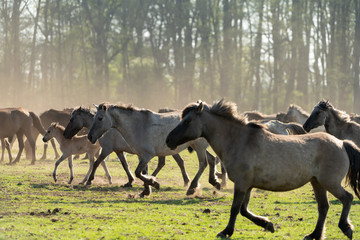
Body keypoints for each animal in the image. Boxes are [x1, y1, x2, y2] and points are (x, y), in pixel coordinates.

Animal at [62, 107, 191, 188]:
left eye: (71, 119)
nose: (65, 134)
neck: (110, 129)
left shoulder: (107, 150)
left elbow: (97, 163)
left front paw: (89, 180)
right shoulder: (118, 151)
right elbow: (125, 165)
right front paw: (130, 181)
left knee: (176, 162)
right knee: (169, 162)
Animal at [88, 102, 222, 197]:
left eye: (100, 118)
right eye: (93, 118)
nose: (90, 137)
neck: (138, 125)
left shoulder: (148, 155)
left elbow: (138, 172)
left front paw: (154, 183)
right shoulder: (141, 155)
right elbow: (143, 172)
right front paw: (146, 191)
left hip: (199, 147)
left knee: (203, 164)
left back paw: (192, 188)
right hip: (197, 146)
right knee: (211, 159)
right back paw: (215, 182)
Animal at [166, 99, 360, 240]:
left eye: (187, 120)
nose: (169, 140)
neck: (239, 141)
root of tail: (342, 143)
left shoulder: (242, 184)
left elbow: (235, 209)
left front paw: (226, 231)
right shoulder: (248, 185)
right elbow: (244, 210)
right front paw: (268, 224)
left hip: (330, 183)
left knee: (347, 198)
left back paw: (346, 228)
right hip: (317, 183)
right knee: (324, 207)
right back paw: (314, 235)